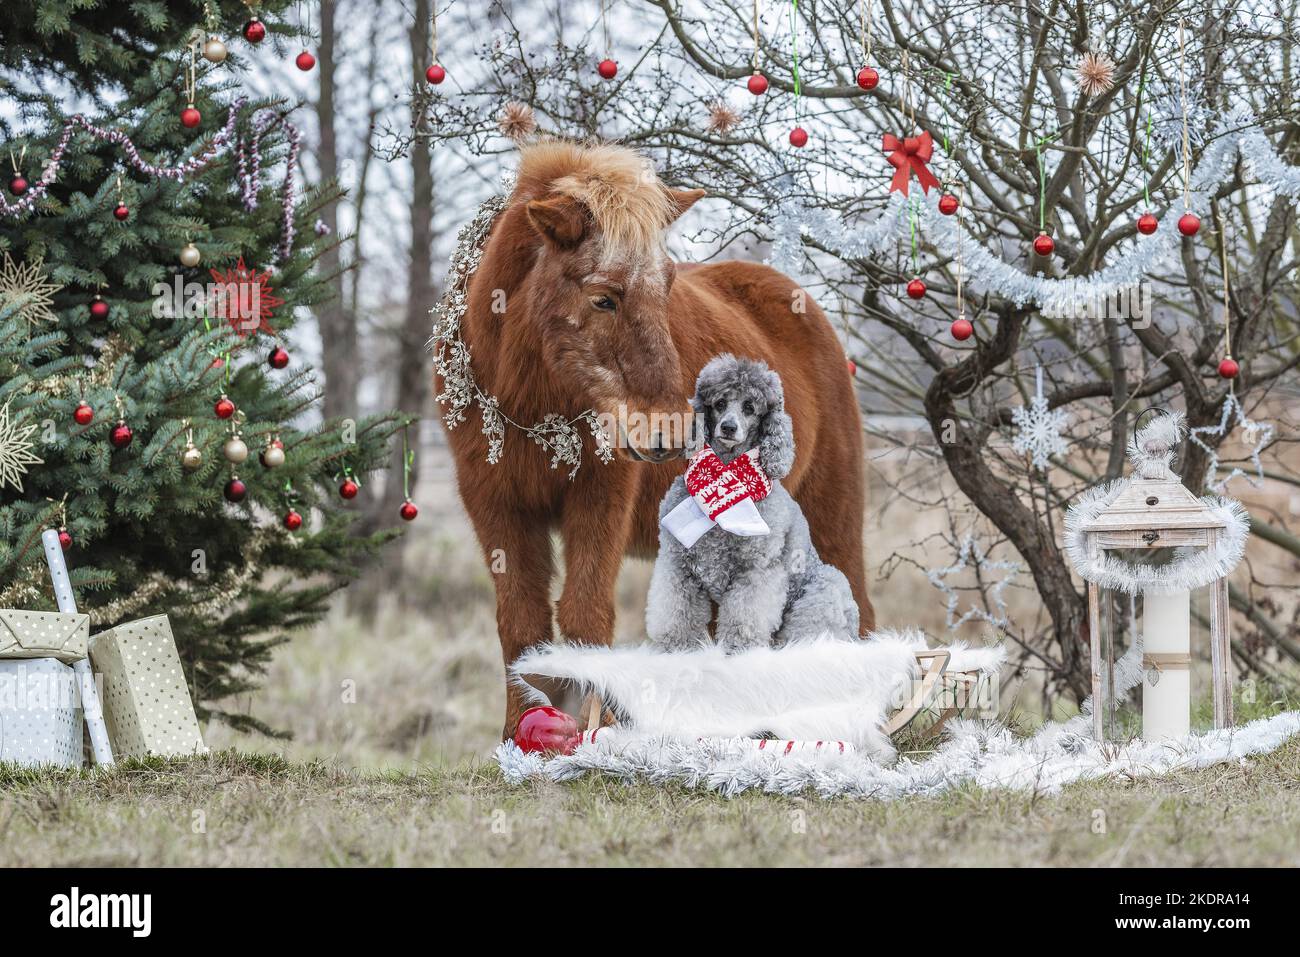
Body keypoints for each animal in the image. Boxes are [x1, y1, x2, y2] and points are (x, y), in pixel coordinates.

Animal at [436, 141, 873, 738]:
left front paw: (589, 734)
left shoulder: (601, 500)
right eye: (603, 299)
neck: (530, 404)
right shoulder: (495, 504)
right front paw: (522, 736)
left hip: (831, 520)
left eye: (666, 288)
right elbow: (523, 626)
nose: (675, 429)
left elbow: (585, 619)